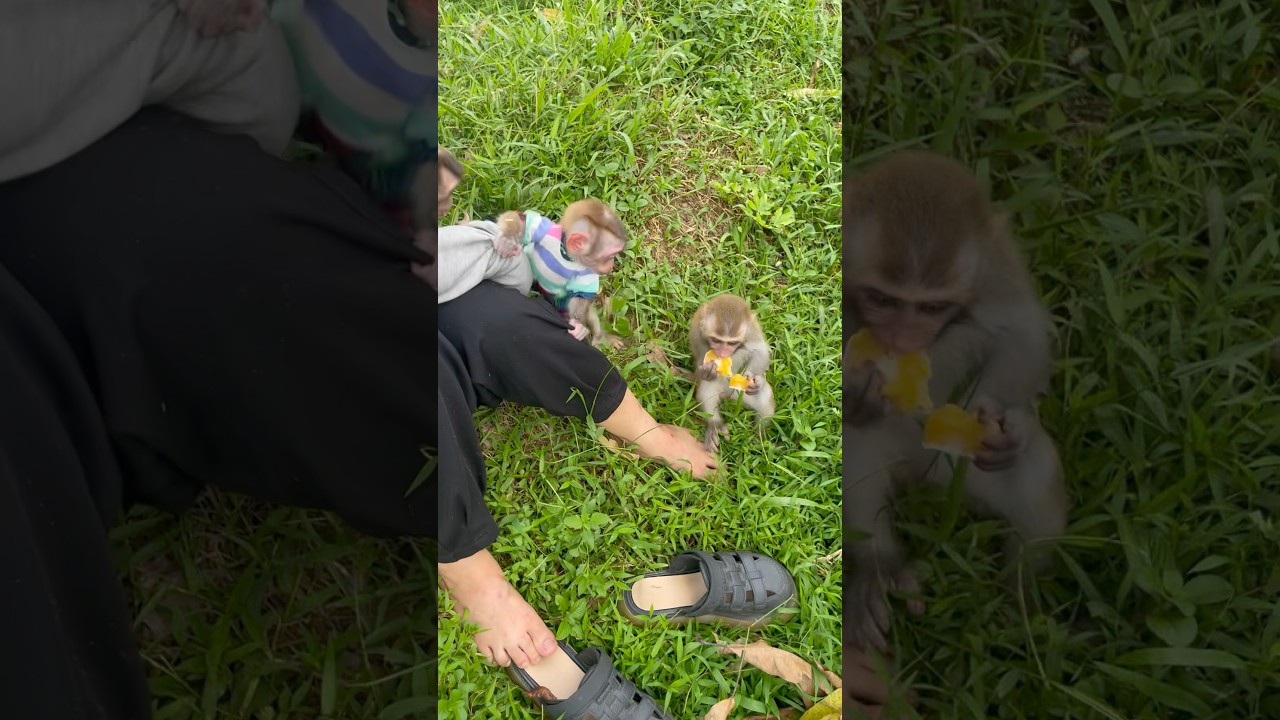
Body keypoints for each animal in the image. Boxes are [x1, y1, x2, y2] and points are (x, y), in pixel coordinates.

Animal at [688, 294, 776, 453]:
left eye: (732, 343)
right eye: (716, 340)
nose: (723, 353)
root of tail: (729, 395)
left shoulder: (753, 332)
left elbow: (760, 351)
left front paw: (756, 380)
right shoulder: (697, 334)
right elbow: (700, 364)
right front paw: (707, 372)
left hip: (741, 396)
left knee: (765, 393)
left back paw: (759, 435)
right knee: (707, 387)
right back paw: (714, 425)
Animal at [842, 150, 1069, 653]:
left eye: (931, 307)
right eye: (883, 299)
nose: (903, 338)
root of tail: (915, 470)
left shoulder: (998, 269)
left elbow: (1021, 332)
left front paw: (1011, 425)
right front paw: (857, 396)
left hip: (951, 469)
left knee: (1033, 466)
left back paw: (1018, 596)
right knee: (859, 442)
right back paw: (877, 563)